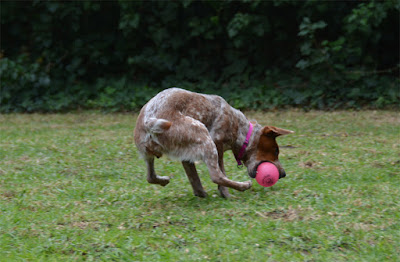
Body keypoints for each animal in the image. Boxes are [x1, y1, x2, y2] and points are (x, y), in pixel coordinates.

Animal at [133, 88, 292, 199]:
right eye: (276, 151)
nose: (283, 174)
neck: (240, 128)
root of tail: (148, 121)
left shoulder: (186, 156)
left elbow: (194, 178)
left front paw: (201, 193)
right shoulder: (217, 142)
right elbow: (221, 172)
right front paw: (226, 194)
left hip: (148, 154)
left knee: (150, 176)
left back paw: (164, 180)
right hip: (203, 134)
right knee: (216, 175)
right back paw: (242, 186)